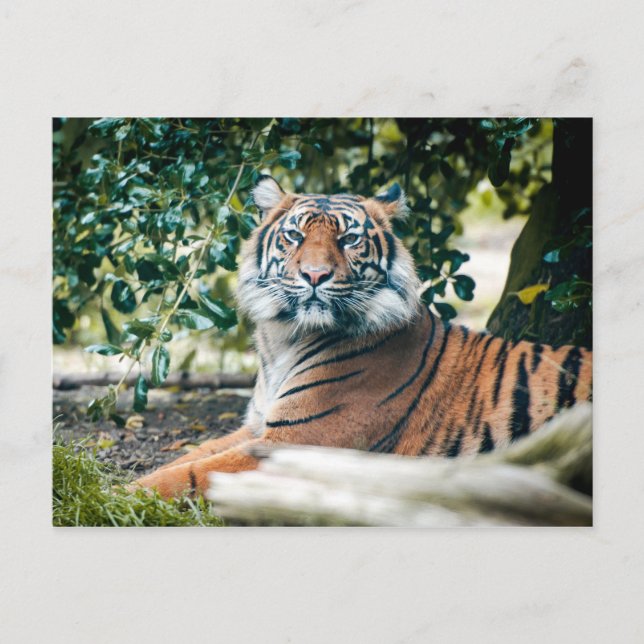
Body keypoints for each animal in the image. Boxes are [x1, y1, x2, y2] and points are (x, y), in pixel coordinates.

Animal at [133, 175, 592, 498]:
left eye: (349, 238)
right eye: (295, 236)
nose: (315, 275)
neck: (283, 339)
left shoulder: (294, 443)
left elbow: (190, 474)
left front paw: (122, 495)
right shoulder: (257, 426)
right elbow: (191, 454)